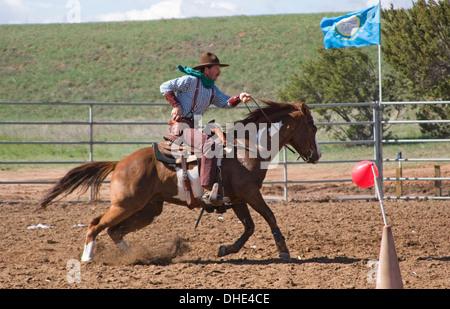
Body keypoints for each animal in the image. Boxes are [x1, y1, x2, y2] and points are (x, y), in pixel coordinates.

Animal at [37, 100, 320, 262]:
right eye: (314, 128)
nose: (316, 155)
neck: (247, 147)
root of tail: (119, 164)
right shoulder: (251, 193)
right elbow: (270, 216)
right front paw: (284, 251)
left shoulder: (238, 198)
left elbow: (249, 227)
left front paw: (226, 249)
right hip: (126, 205)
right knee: (96, 224)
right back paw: (88, 258)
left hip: (147, 209)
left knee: (114, 230)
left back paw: (134, 256)